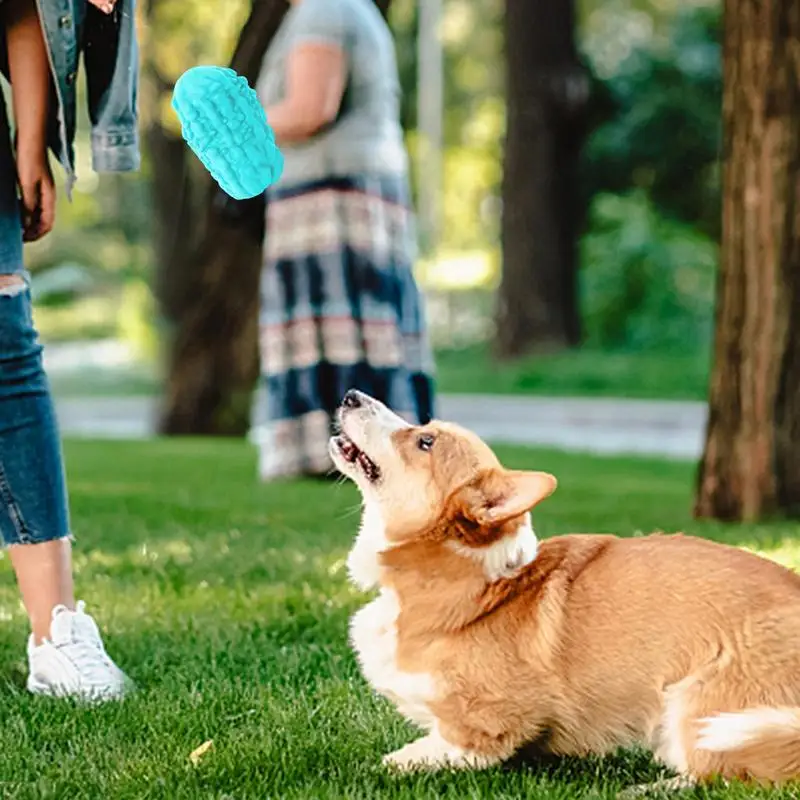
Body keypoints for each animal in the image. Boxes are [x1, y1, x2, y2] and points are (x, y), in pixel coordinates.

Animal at [328, 390, 800, 792]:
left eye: (425, 441)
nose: (350, 394)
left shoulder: (487, 723)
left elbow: (411, 755)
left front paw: (391, 764)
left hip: (694, 706)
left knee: (719, 774)